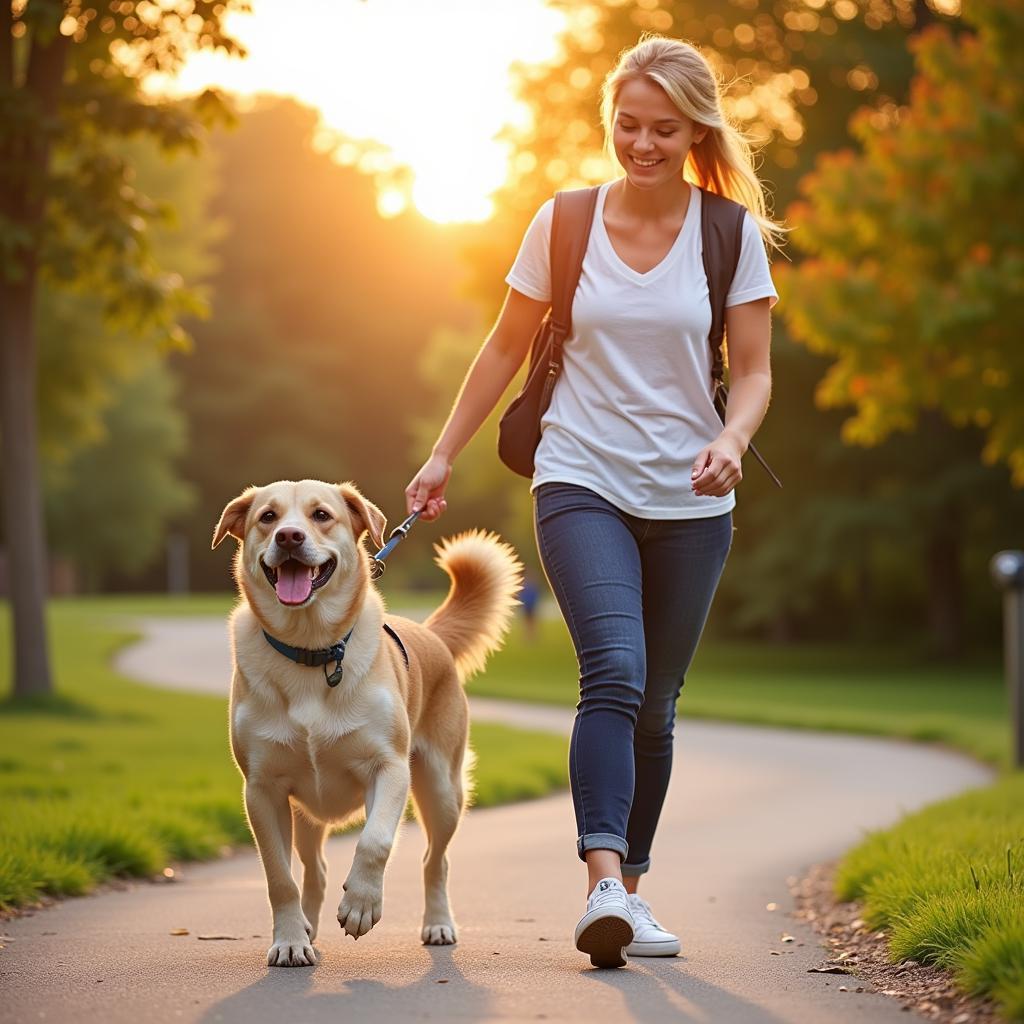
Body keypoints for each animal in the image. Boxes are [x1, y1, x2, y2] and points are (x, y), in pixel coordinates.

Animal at [212, 479, 524, 966]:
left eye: (321, 515)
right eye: (268, 517)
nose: (289, 537)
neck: (311, 651)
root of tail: (430, 632)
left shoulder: (389, 768)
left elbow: (374, 842)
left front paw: (360, 905)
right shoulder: (262, 790)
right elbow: (279, 876)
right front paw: (290, 940)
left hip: (442, 790)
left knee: (435, 860)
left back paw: (438, 923)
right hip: (306, 815)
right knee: (315, 870)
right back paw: (308, 928)